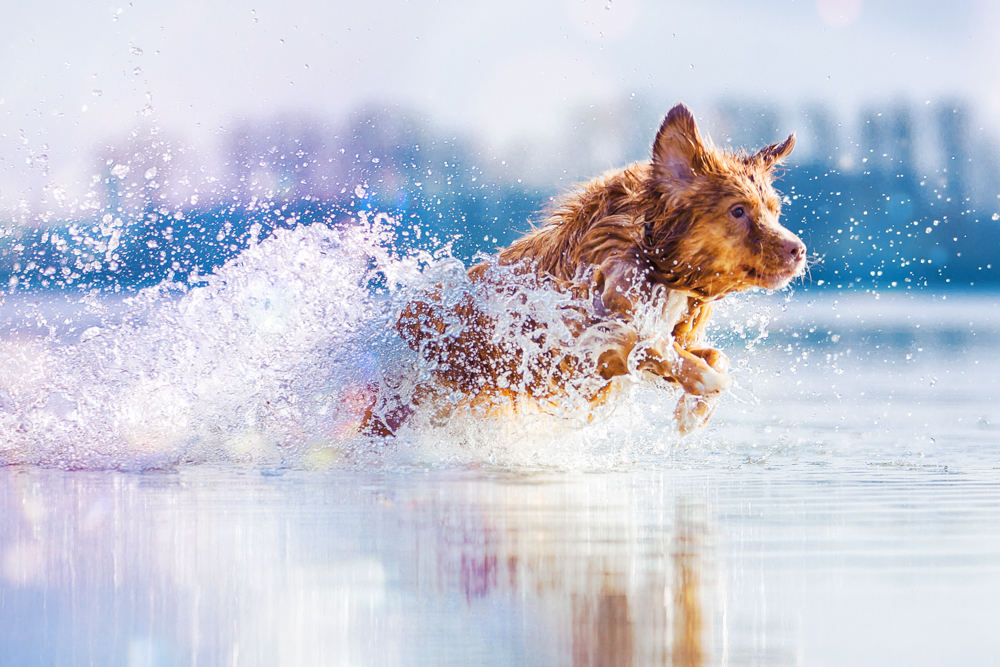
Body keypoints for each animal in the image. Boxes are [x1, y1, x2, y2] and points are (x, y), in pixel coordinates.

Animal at [364, 103, 808, 436]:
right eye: (738, 211)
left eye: (774, 210)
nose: (799, 250)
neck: (654, 260)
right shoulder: (575, 340)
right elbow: (651, 345)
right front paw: (704, 384)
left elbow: (713, 355)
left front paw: (695, 408)